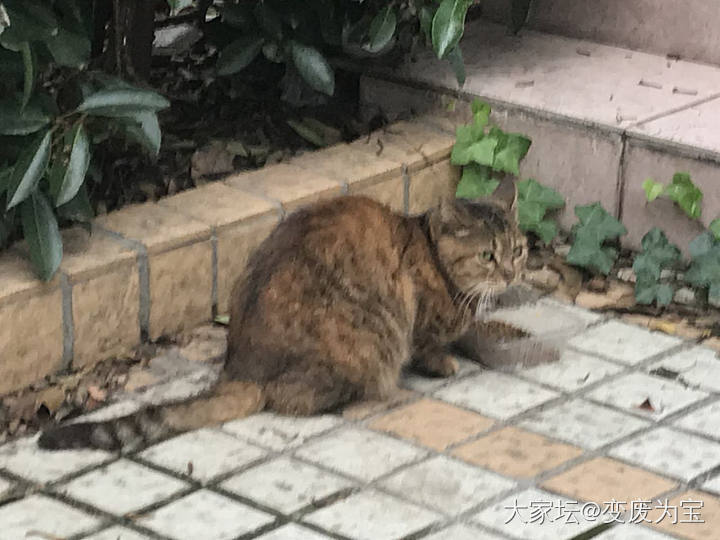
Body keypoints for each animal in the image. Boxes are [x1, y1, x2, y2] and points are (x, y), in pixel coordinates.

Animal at [39, 188, 524, 450]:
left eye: (517, 250)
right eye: (487, 255)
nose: (511, 272)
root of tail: (240, 369)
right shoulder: (417, 318)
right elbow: (429, 344)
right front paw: (443, 361)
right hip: (364, 345)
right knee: (299, 399)